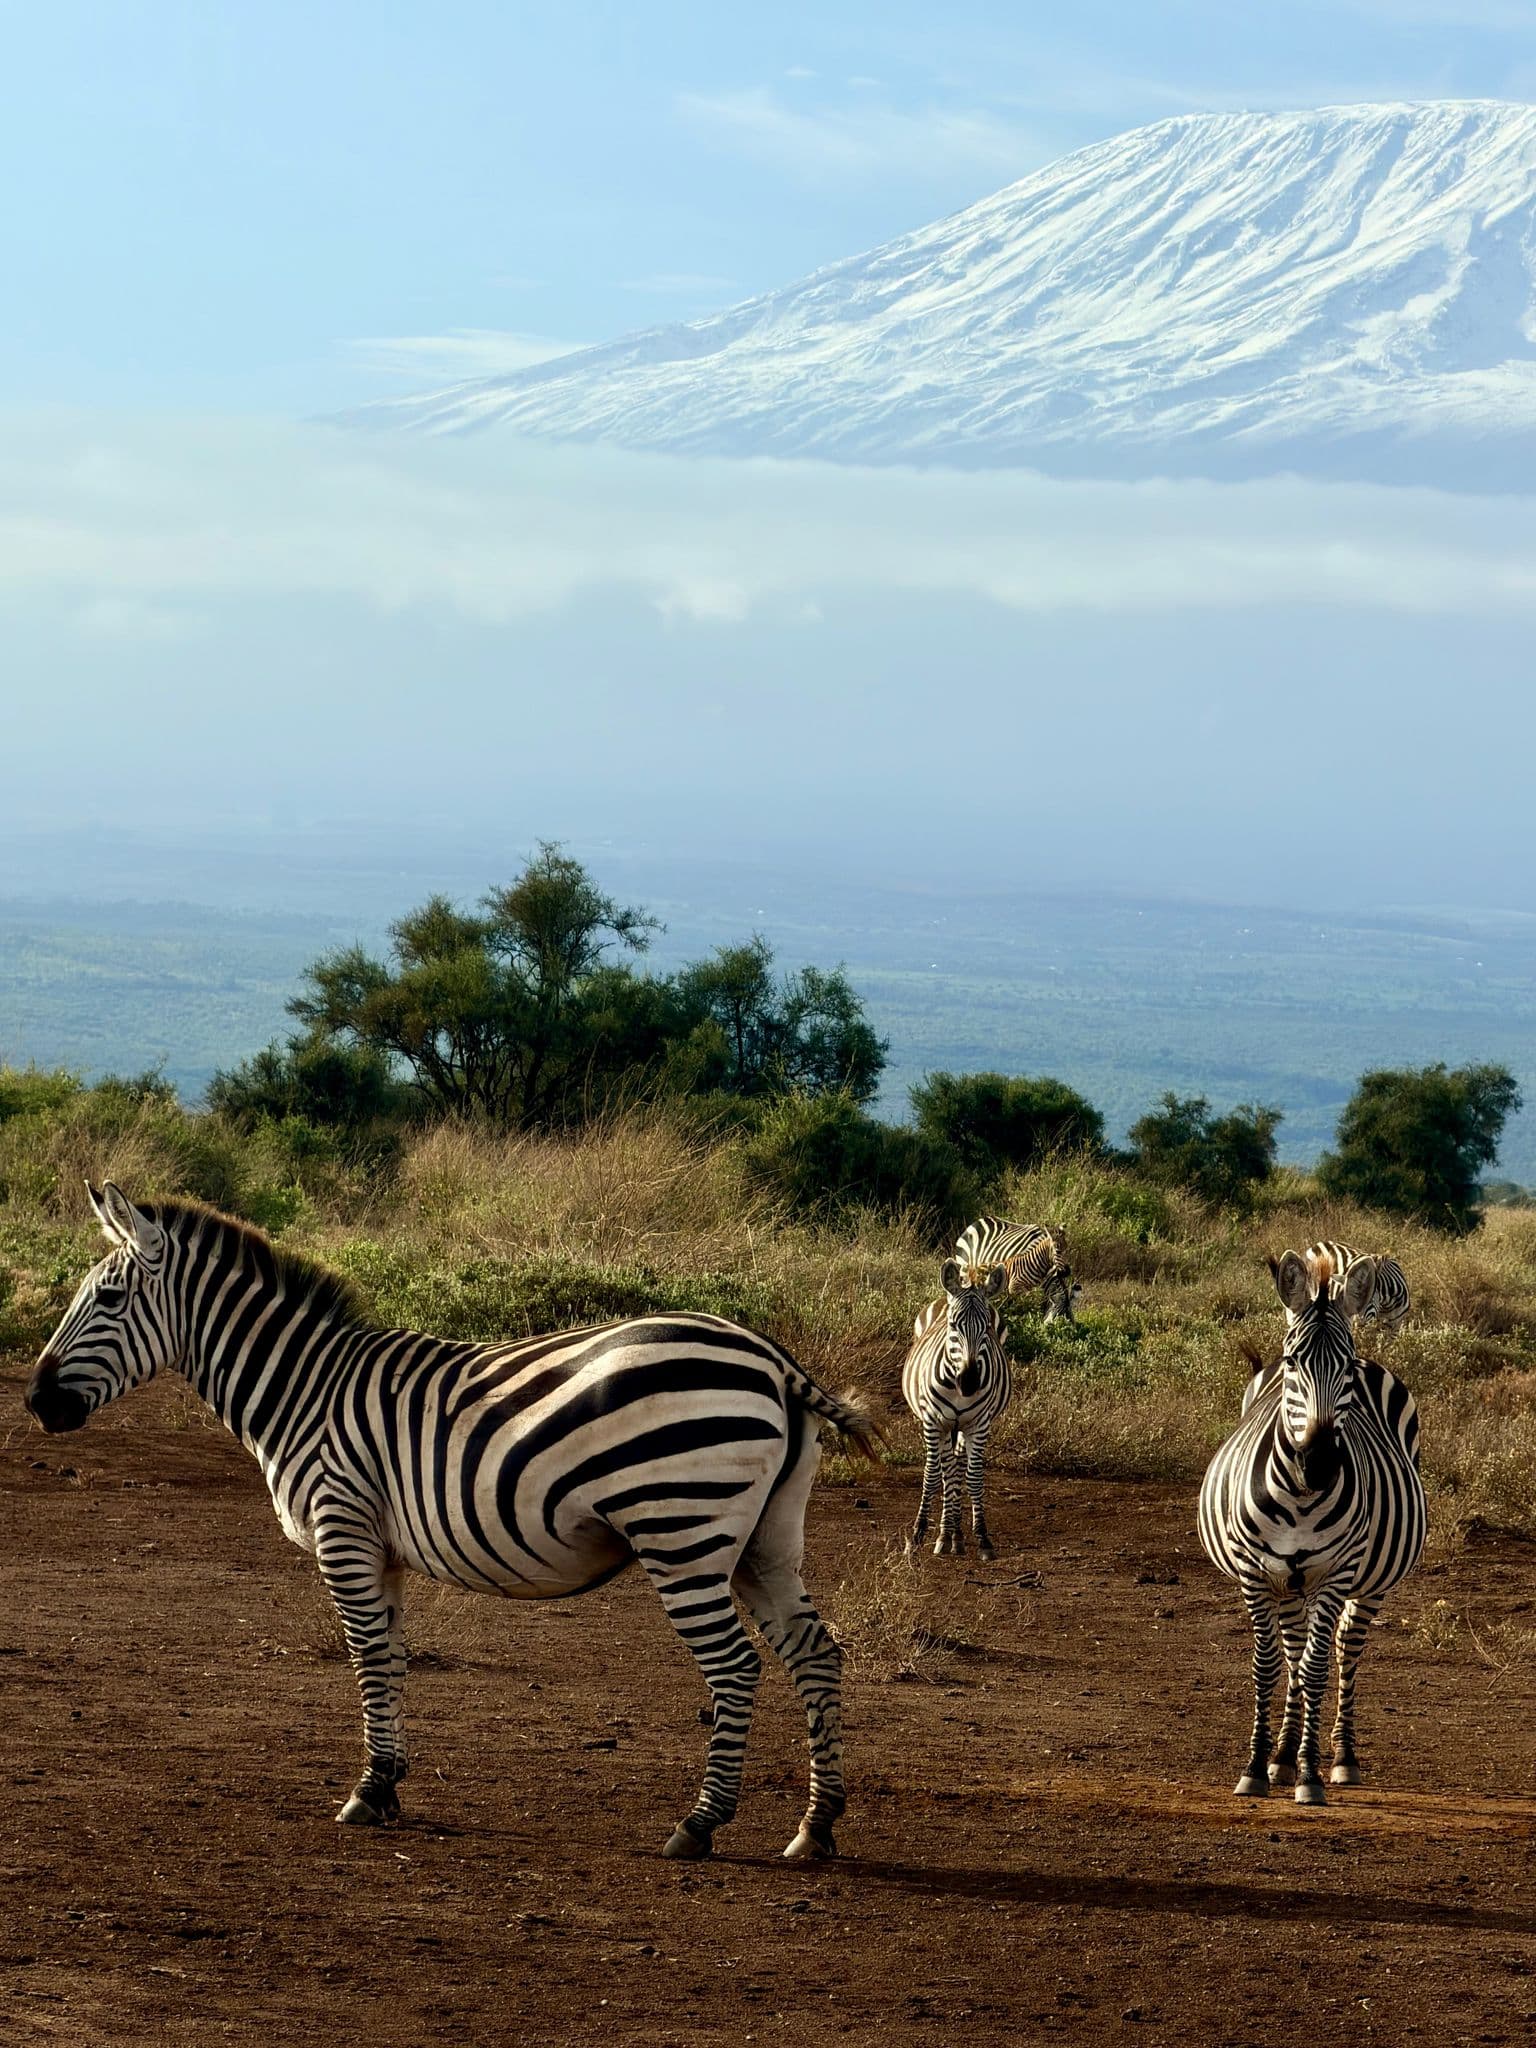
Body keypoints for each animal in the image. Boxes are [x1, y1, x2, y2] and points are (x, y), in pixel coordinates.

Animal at [25, 1184, 879, 1862]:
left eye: (107, 1301)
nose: (36, 1402)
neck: (302, 1388)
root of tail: (770, 1356)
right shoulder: (380, 1546)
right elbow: (395, 1658)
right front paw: (390, 1783)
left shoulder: (341, 1526)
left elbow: (367, 1655)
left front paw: (367, 1792)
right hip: (766, 1540)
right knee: (816, 1655)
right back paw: (817, 1828)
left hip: (682, 1531)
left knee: (736, 1667)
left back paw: (699, 1825)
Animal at [902, 1258, 1010, 1560]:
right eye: (953, 1325)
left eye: (987, 1328)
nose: (969, 1383)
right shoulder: (933, 1421)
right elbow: (934, 1475)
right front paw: (922, 1535)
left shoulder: (979, 1424)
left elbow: (972, 1478)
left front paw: (982, 1538)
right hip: (941, 1425)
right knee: (943, 1471)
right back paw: (942, 1533)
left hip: (963, 1427)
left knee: (957, 1471)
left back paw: (955, 1534)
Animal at [1198, 1249, 1425, 1805]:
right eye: (1294, 1362)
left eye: (1344, 1367)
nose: (1319, 1465)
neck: (1300, 1500)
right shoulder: (1255, 1572)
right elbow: (1268, 1665)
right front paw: (1258, 1767)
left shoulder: (1335, 1574)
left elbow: (1318, 1667)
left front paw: (1311, 1775)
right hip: (1287, 1583)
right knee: (1292, 1653)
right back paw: (1281, 1756)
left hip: (1367, 1583)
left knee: (1343, 1652)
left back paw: (1339, 1758)